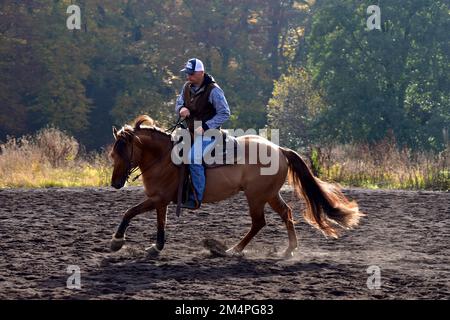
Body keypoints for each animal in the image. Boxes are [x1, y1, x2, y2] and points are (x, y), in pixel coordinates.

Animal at [109, 115, 362, 258]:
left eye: (123, 153)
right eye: (113, 154)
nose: (115, 183)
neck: (164, 158)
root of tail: (280, 150)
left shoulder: (157, 199)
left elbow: (129, 212)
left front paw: (116, 242)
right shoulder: (160, 200)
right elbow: (160, 223)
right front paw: (157, 247)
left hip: (256, 196)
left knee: (259, 222)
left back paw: (233, 250)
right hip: (270, 194)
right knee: (286, 213)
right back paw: (289, 250)